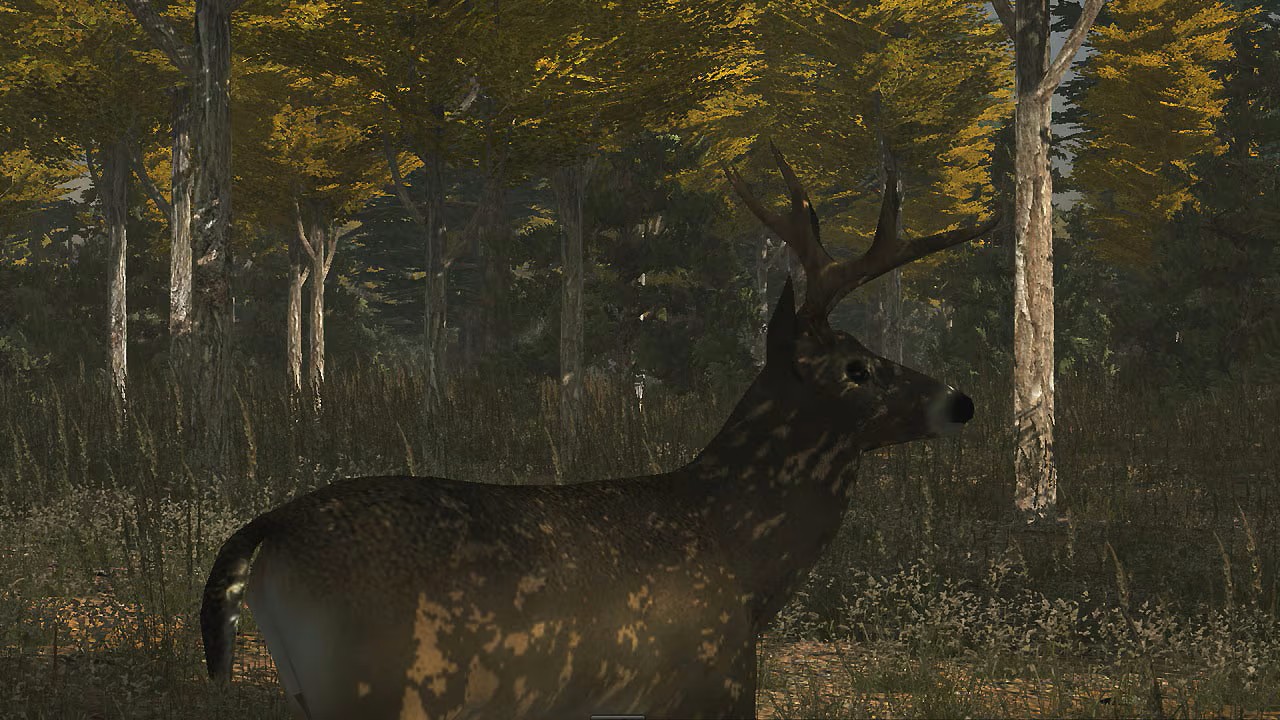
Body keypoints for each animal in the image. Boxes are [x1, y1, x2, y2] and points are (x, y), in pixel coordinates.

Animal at [200, 142, 999, 720]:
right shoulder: (713, 684)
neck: (742, 562)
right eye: (856, 367)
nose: (959, 401)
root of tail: (266, 531)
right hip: (379, 688)